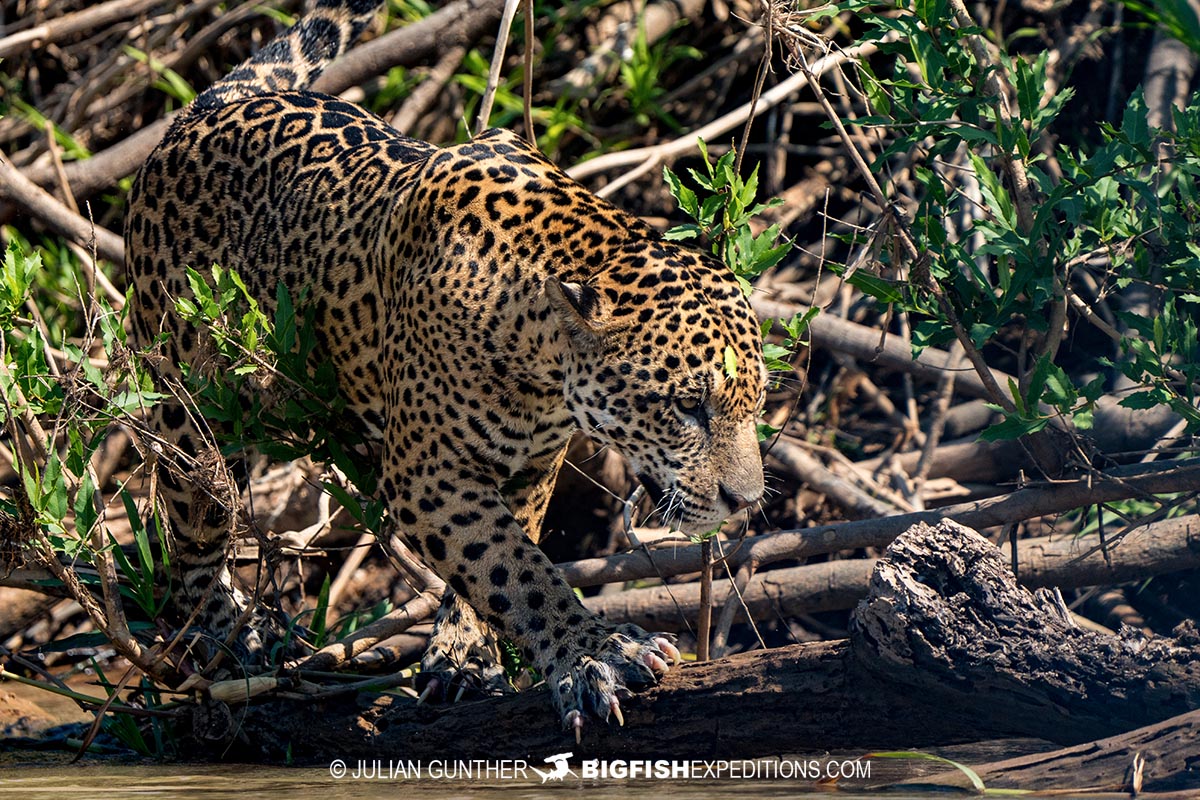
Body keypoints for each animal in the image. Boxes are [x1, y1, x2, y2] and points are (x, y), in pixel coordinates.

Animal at [124, 0, 766, 733]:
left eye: (756, 404)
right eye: (687, 406)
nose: (747, 503)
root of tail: (207, 108)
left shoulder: (530, 466)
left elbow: (497, 561)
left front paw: (464, 654)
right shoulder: (428, 475)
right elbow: (519, 571)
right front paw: (594, 654)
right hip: (188, 407)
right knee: (190, 536)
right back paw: (228, 637)